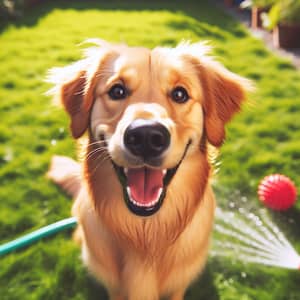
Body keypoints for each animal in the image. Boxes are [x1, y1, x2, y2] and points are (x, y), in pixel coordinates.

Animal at [47, 39, 251, 300]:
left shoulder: (178, 286)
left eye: (180, 94)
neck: (146, 232)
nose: (145, 136)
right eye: (117, 91)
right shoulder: (115, 288)